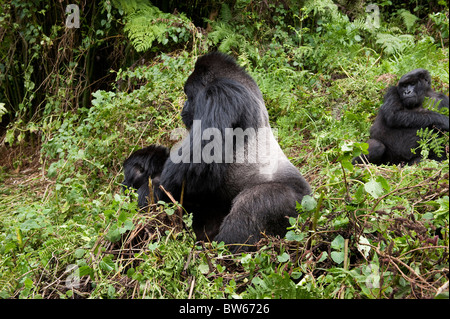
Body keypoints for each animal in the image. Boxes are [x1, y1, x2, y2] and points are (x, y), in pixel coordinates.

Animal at [123, 52, 312, 252]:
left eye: (188, 95)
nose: (183, 107)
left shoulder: (220, 93)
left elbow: (197, 164)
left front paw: (153, 188)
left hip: (294, 204)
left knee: (251, 208)